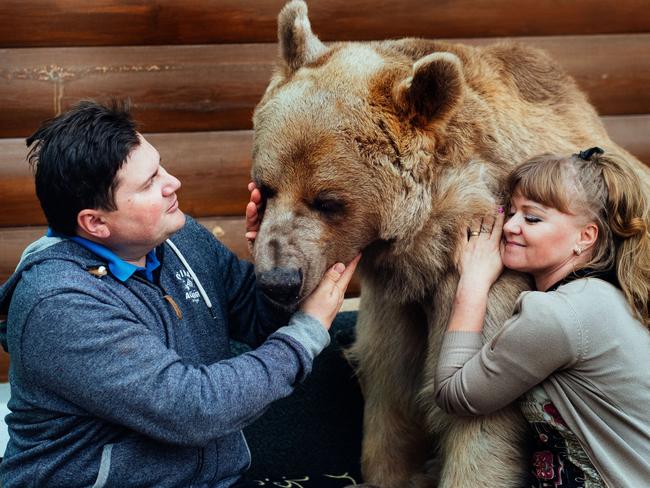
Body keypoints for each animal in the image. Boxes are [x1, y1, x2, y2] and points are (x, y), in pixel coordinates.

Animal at [247, 1, 644, 486]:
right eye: (266, 188)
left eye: (327, 201)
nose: (278, 280)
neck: (427, 242)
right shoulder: (394, 299)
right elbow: (391, 387)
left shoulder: (493, 280)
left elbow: (477, 417)